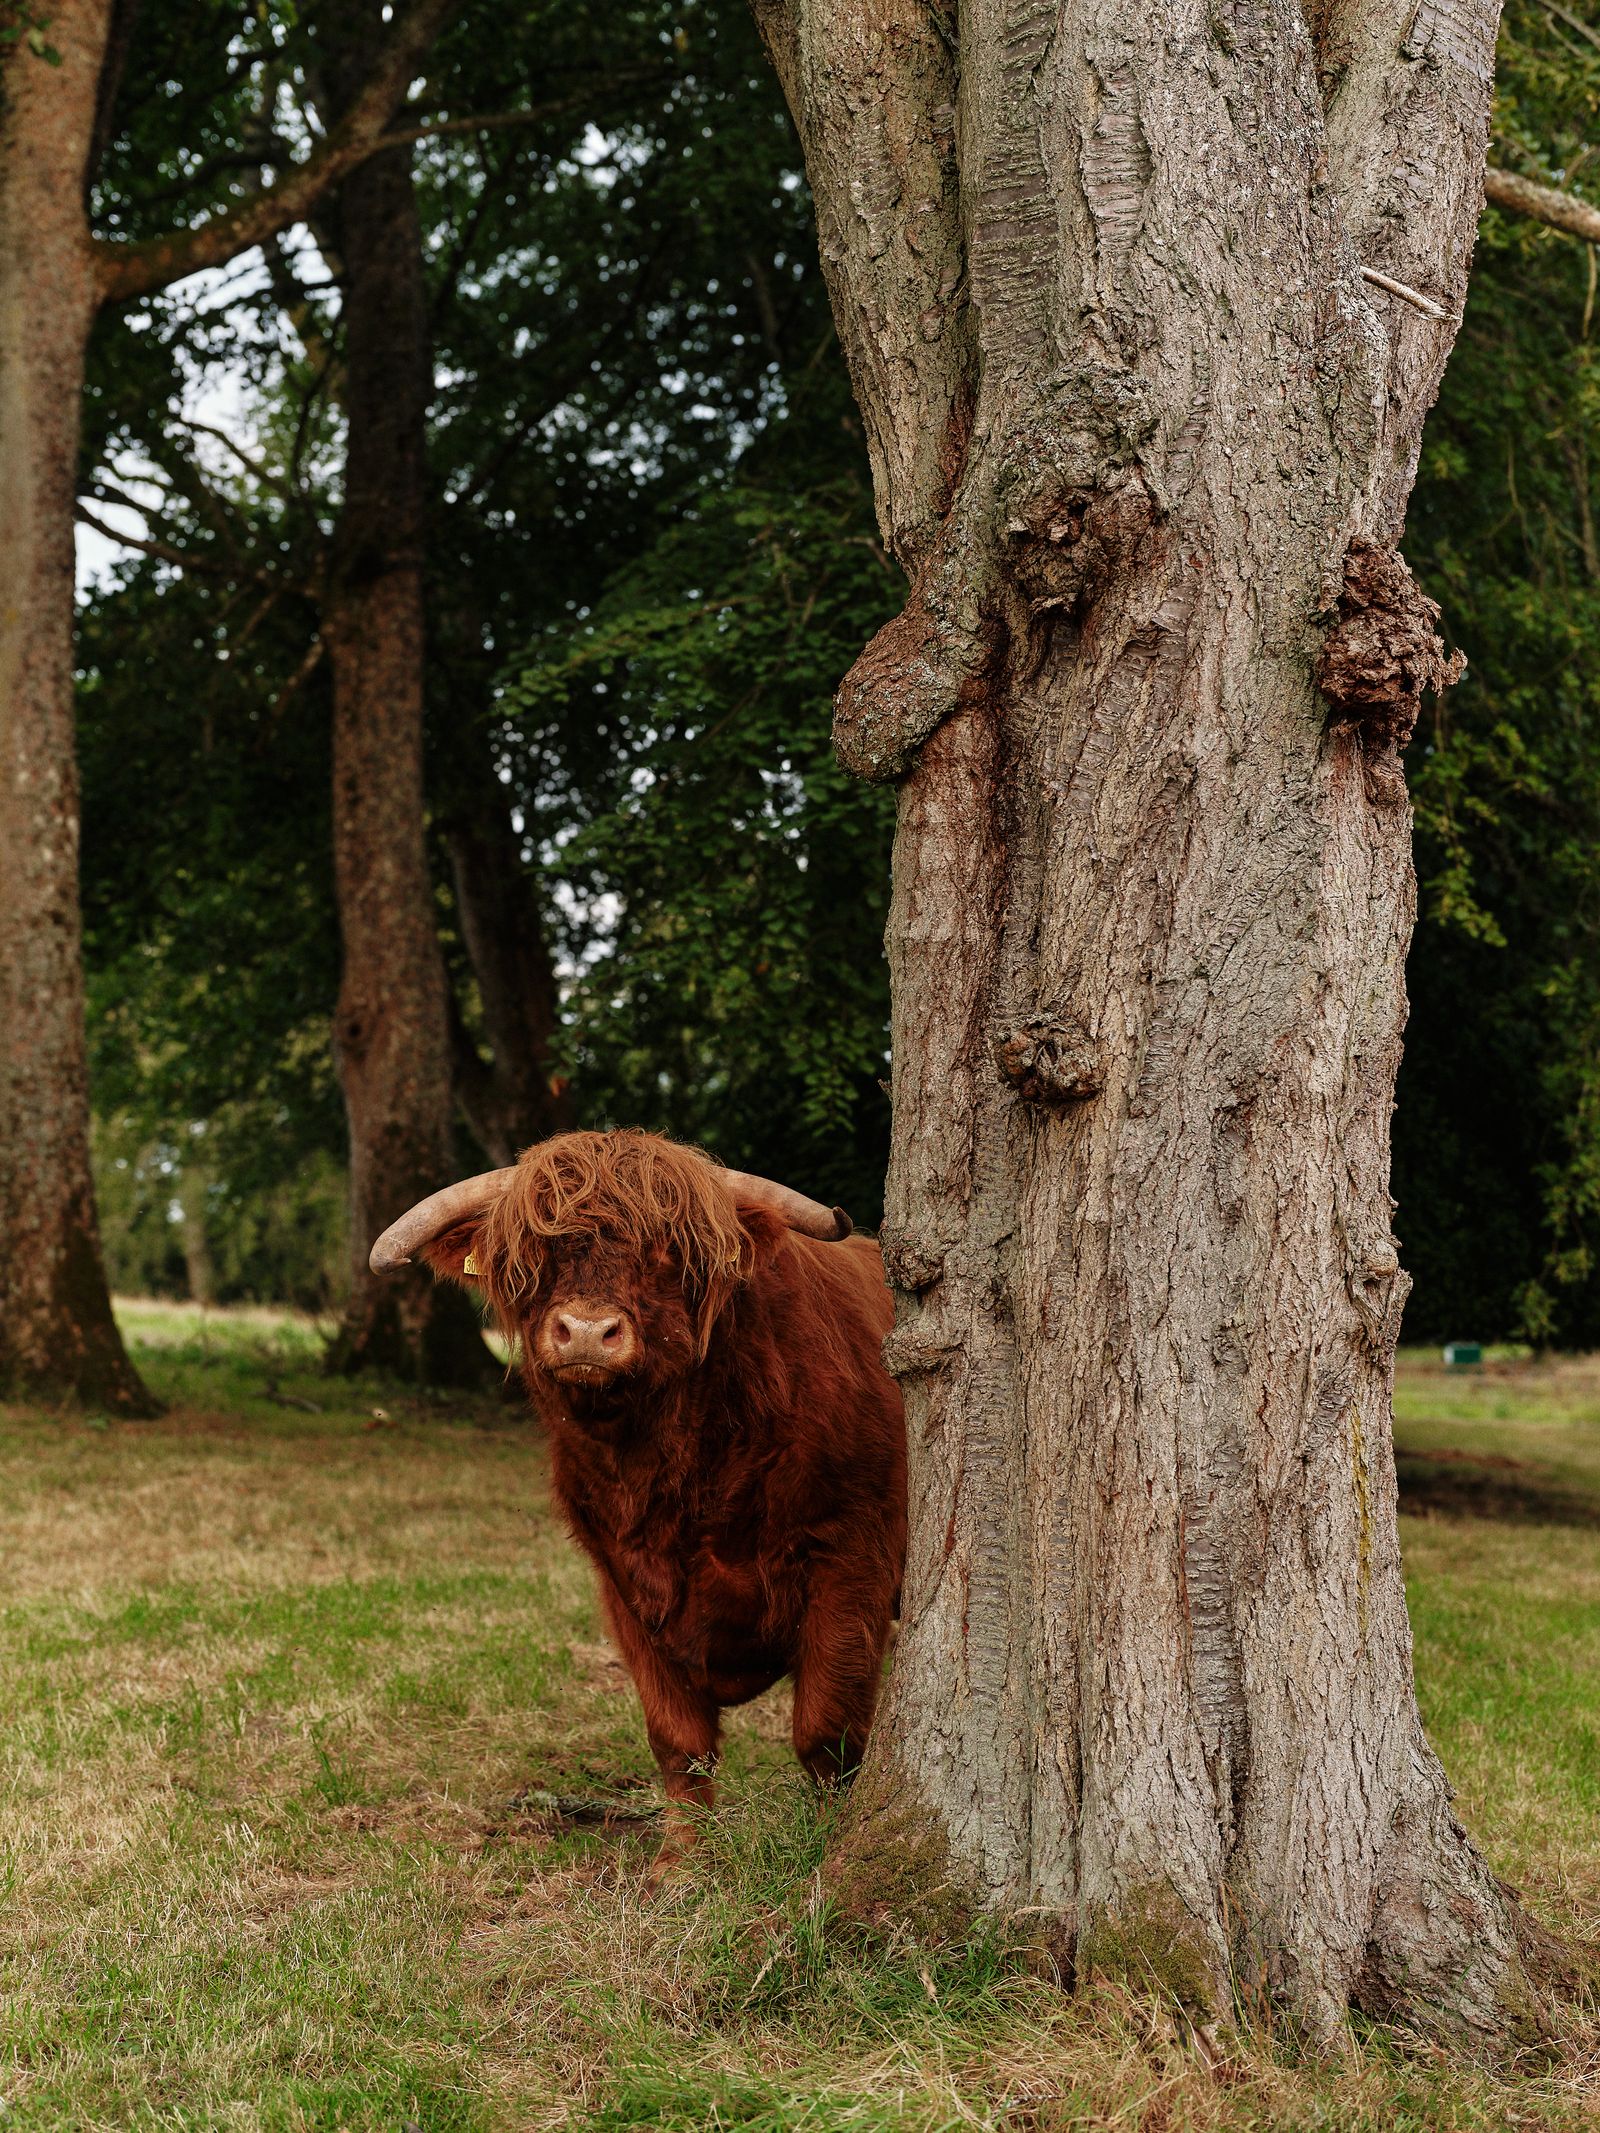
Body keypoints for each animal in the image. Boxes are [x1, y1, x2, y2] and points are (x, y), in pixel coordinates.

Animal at [369, 1128, 906, 1881]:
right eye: (538, 1254)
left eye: (669, 1254)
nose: (587, 1332)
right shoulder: (623, 1583)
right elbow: (678, 1741)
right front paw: (681, 1866)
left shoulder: (850, 1555)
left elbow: (827, 1729)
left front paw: (832, 1843)